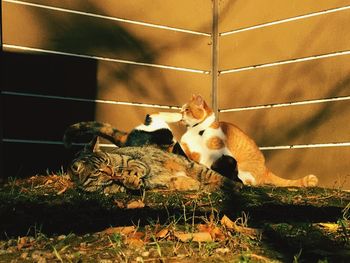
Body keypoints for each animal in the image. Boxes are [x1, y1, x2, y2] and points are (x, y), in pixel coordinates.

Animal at [179, 95, 318, 188]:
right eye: (181, 109)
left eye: (186, 110)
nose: (179, 113)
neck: (197, 130)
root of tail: (266, 169)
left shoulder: (217, 152)